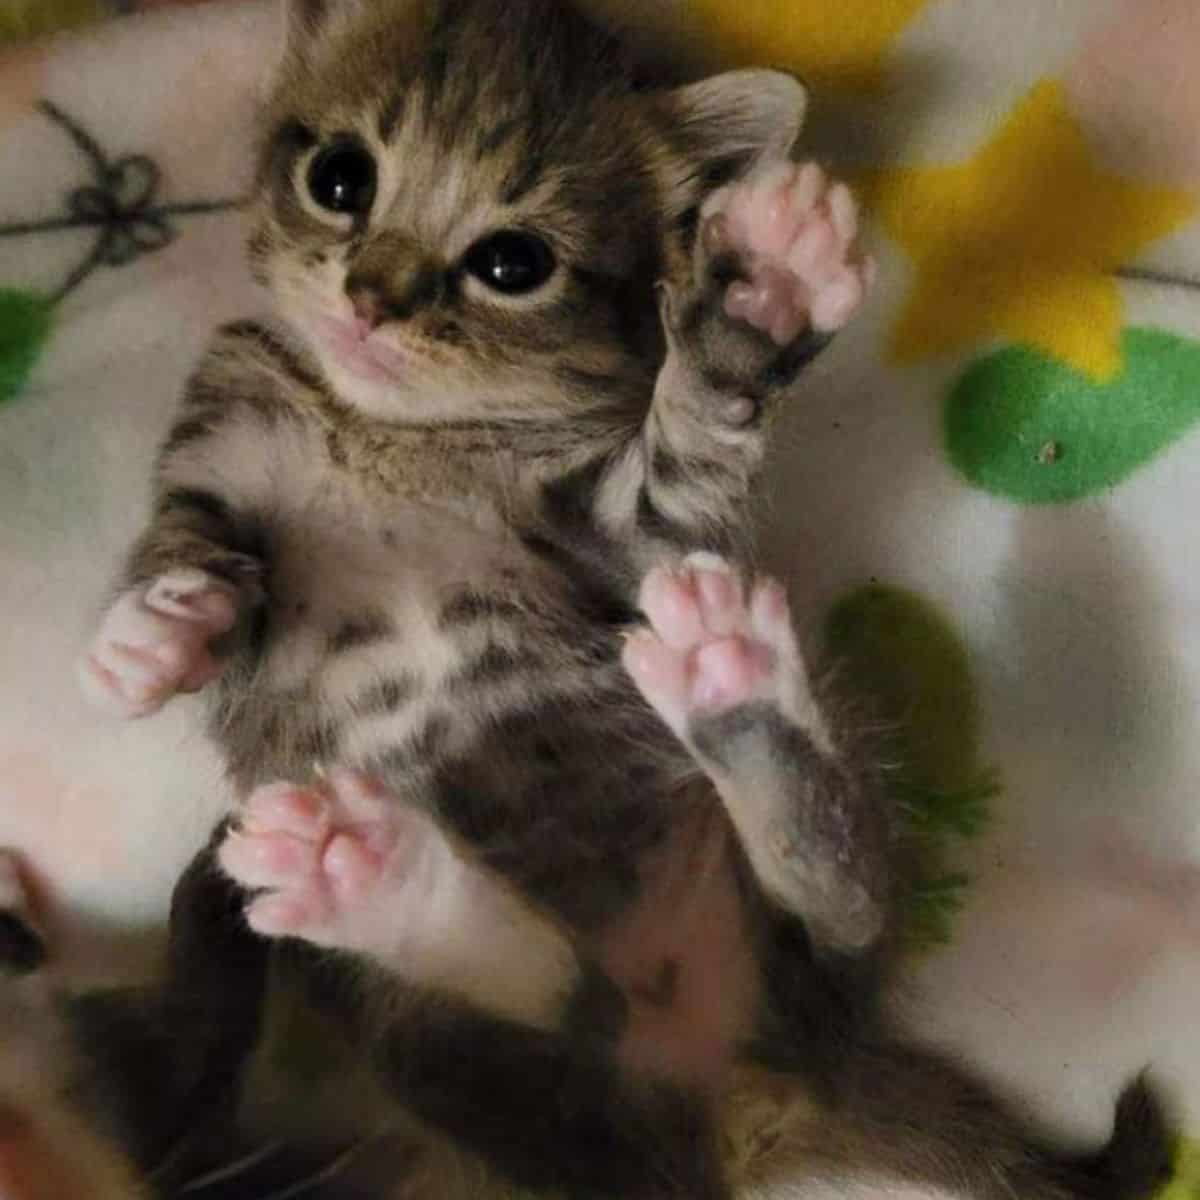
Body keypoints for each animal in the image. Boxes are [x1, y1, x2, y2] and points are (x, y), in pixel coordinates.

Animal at [60, 2, 1166, 1200]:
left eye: (512, 263)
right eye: (340, 177)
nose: (372, 296)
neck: (388, 435)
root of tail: (752, 1084)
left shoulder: (636, 534)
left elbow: (689, 460)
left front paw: (758, 306)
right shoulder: (214, 443)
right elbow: (181, 545)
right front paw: (148, 637)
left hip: (793, 889)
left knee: (837, 908)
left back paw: (724, 696)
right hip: (431, 1043)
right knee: (557, 997)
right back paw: (370, 875)